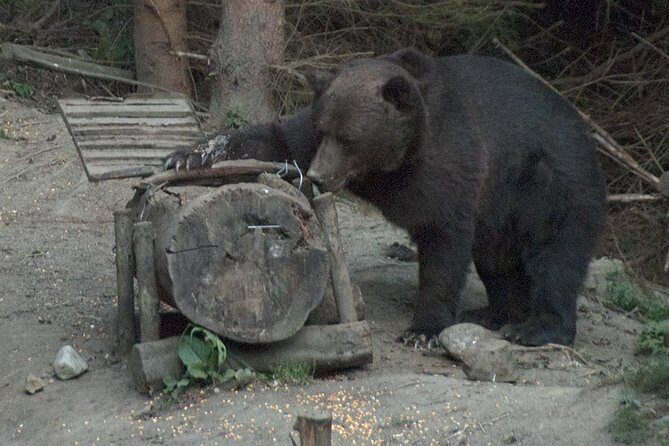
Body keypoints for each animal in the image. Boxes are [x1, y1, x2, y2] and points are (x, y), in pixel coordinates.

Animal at [165, 48, 607, 346]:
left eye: (349, 137)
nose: (320, 175)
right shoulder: (309, 138)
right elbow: (275, 138)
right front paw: (188, 154)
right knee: (498, 261)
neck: (392, 162)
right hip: (504, 211)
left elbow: (444, 239)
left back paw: (535, 326)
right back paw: (493, 312)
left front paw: (423, 329)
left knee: (555, 255)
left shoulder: (452, 163)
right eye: (325, 128)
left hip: (548, 184)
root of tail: (586, 134)